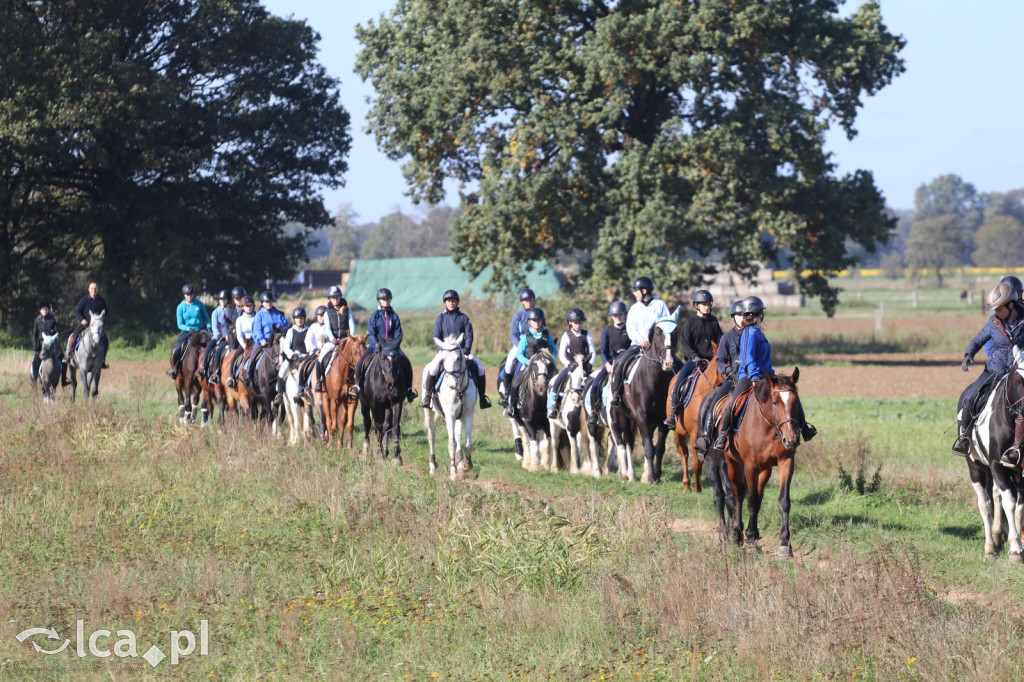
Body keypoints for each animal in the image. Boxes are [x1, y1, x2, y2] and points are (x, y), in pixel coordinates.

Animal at [423, 333, 475, 477]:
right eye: (443, 359)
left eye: (458, 358)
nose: (451, 384)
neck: (459, 390)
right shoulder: (450, 415)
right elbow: (451, 444)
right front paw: (453, 472)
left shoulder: (468, 415)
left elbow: (468, 444)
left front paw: (467, 465)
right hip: (429, 413)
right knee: (432, 437)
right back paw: (432, 466)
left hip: (458, 417)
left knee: (457, 436)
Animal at [663, 342, 720, 491]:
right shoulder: (695, 434)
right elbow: (696, 463)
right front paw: (697, 489)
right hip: (678, 433)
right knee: (684, 455)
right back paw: (687, 484)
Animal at [712, 368, 806, 557]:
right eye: (775, 402)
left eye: (796, 401)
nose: (792, 439)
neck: (769, 427)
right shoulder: (750, 466)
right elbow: (752, 501)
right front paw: (750, 539)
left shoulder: (786, 462)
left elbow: (784, 501)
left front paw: (785, 544)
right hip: (732, 463)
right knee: (738, 494)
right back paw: (737, 533)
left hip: (765, 470)